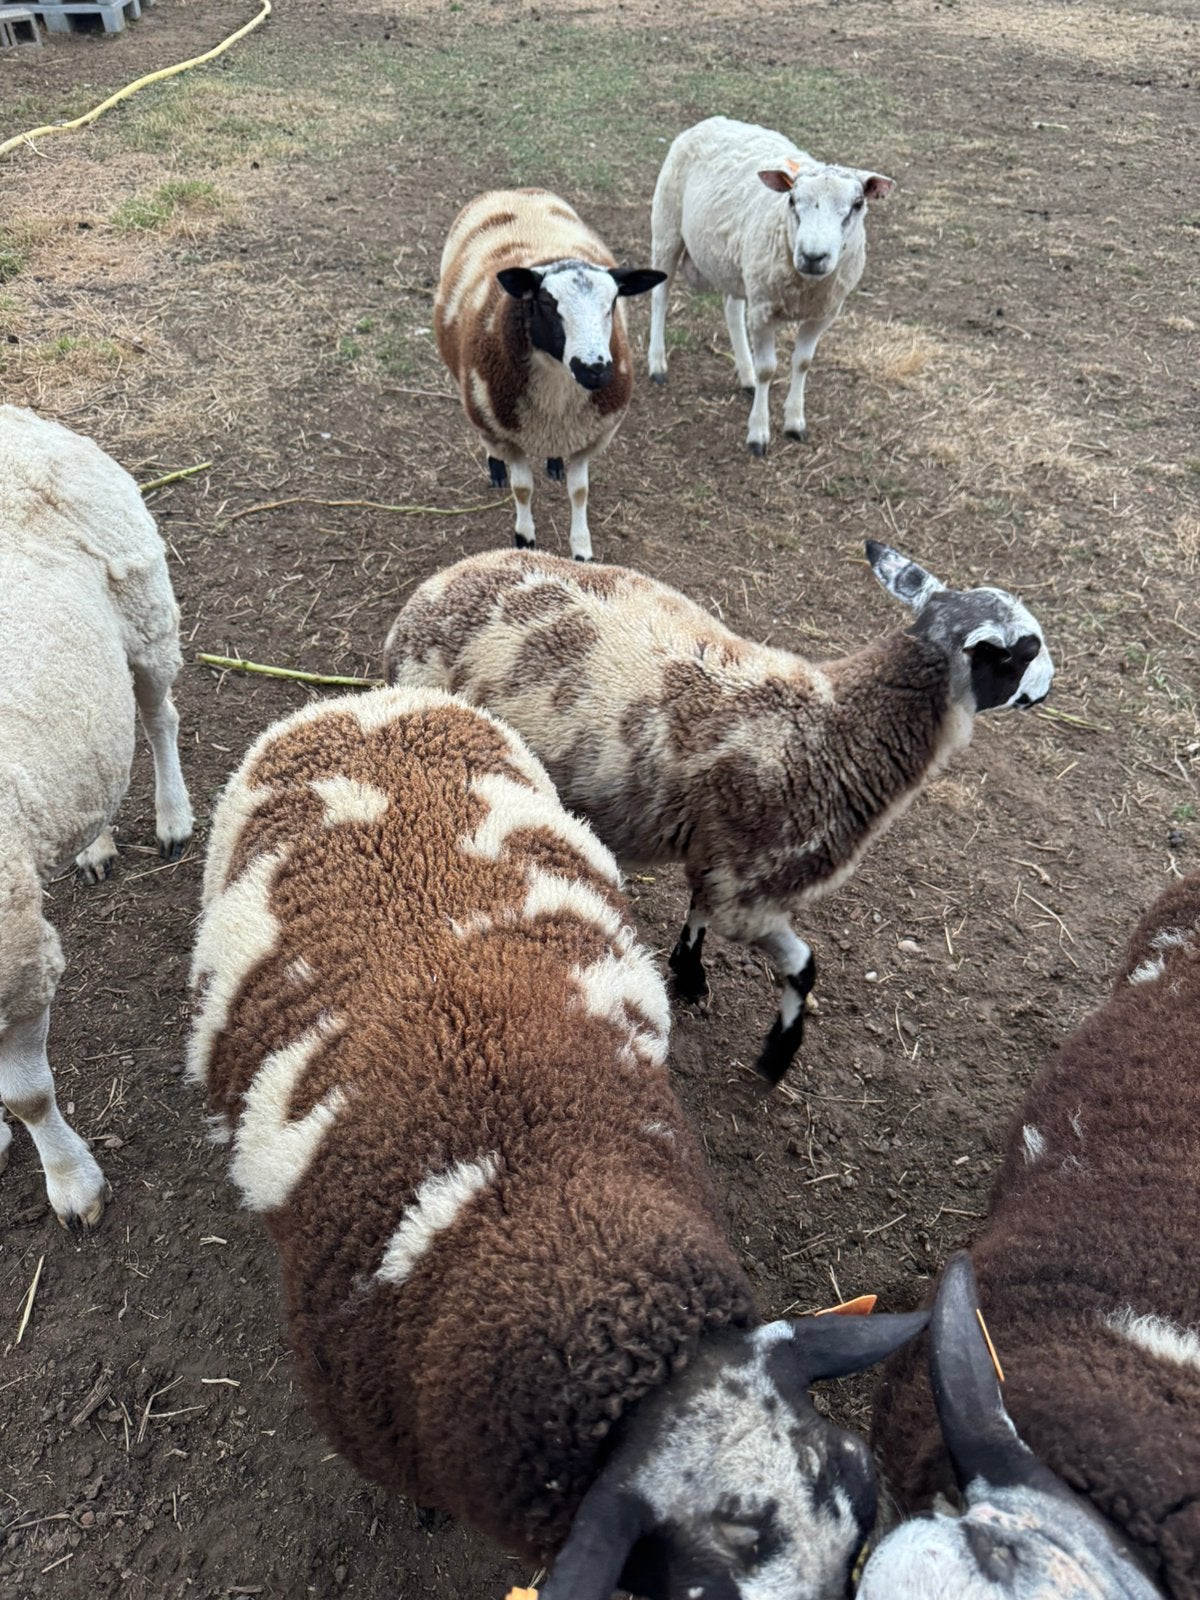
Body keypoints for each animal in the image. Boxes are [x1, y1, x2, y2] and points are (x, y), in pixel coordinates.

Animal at [382, 541, 1054, 1087]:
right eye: (1026, 650)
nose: (1050, 687)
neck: (836, 728)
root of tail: (427, 593)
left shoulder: (718, 860)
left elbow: (698, 910)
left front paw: (688, 973)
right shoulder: (749, 891)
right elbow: (805, 969)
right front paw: (776, 1056)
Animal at [434, 188, 664, 561]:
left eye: (613, 302)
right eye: (546, 303)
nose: (595, 368)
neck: (557, 385)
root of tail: (512, 190)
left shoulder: (588, 437)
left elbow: (580, 491)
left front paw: (582, 550)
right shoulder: (506, 434)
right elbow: (523, 489)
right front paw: (525, 537)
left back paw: (554, 463)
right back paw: (495, 468)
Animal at [646, 115, 894, 456]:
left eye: (857, 204)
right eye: (792, 200)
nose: (813, 256)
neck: (806, 287)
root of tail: (714, 120)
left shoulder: (823, 313)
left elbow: (803, 362)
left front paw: (795, 422)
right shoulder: (763, 309)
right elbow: (768, 369)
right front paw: (758, 433)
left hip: (738, 266)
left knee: (732, 309)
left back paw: (746, 375)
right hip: (666, 227)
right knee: (660, 296)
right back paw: (657, 363)